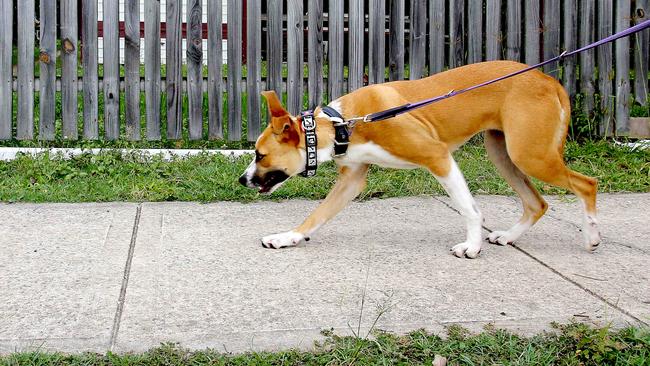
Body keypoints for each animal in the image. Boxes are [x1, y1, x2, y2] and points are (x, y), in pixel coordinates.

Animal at [237, 60, 596, 258]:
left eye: (260, 155)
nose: (241, 180)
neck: (344, 124)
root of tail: (548, 79)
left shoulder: (437, 156)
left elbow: (469, 208)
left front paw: (472, 246)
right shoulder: (351, 179)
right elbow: (317, 215)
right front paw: (287, 237)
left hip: (530, 155)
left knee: (586, 184)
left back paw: (592, 235)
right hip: (505, 154)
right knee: (538, 203)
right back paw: (509, 236)